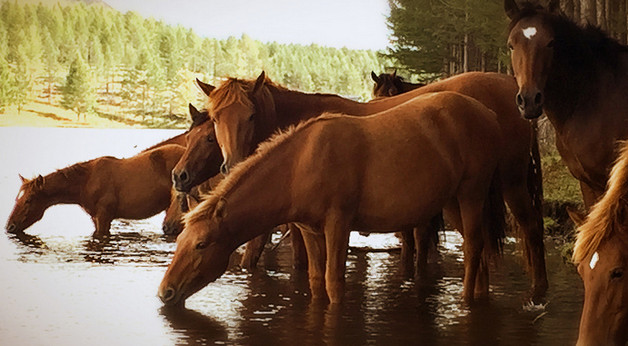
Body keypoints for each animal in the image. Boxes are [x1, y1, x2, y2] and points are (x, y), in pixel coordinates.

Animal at [5, 144, 186, 238]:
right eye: (17, 199)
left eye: (28, 200)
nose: (9, 226)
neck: (87, 181)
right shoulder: (95, 218)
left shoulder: (104, 218)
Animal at [194, 71, 548, 300]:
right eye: (215, 118)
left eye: (251, 116)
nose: (231, 164)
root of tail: (511, 87)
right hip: (460, 197)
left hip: (510, 182)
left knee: (530, 227)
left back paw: (537, 292)